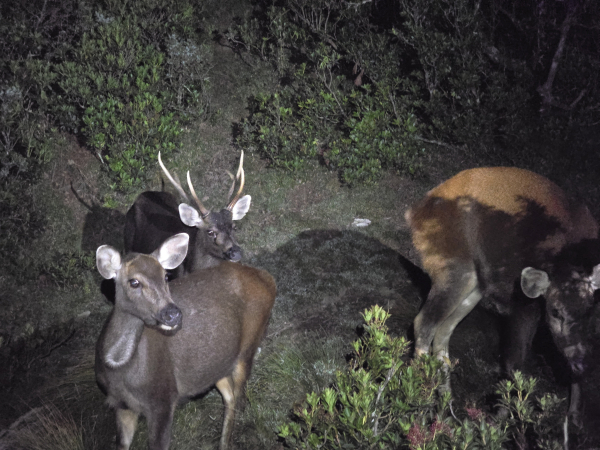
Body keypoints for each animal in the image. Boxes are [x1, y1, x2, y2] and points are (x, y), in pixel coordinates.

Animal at [95, 234, 276, 448]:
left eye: (166, 276)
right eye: (134, 282)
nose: (173, 314)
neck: (120, 370)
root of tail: (267, 278)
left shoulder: (163, 400)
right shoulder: (120, 405)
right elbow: (121, 443)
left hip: (249, 344)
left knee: (239, 396)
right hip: (216, 363)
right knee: (230, 396)